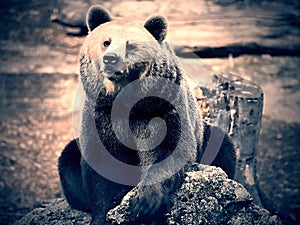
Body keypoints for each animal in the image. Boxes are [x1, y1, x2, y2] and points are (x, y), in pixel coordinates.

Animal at [58, 4, 237, 224]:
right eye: (106, 42)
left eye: (130, 45)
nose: (110, 59)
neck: (125, 101)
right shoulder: (100, 115)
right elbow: (100, 164)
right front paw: (104, 212)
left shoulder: (162, 108)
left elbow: (168, 149)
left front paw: (145, 202)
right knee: (68, 159)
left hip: (204, 137)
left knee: (222, 147)